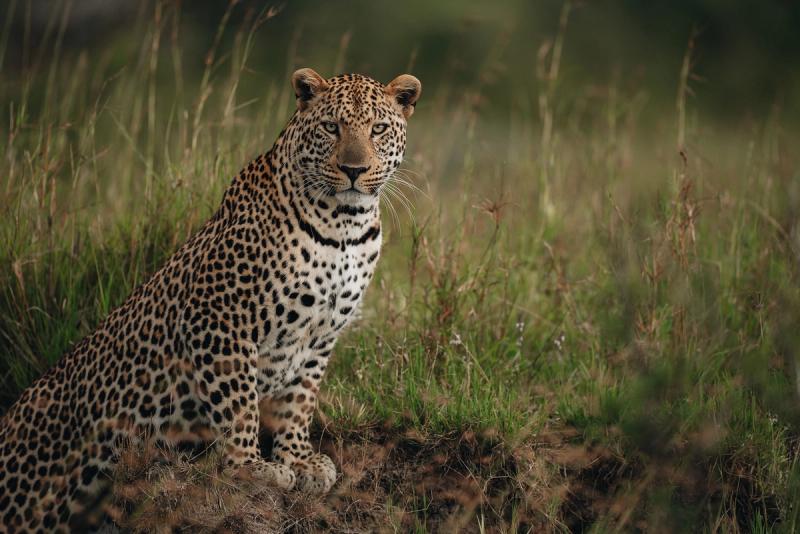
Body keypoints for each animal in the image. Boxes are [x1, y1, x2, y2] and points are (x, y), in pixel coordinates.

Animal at [0, 68, 421, 533]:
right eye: (331, 128)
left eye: (377, 129)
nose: (353, 169)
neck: (344, 227)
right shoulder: (218, 320)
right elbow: (239, 403)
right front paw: (250, 467)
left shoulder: (319, 339)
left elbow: (299, 401)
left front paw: (299, 459)